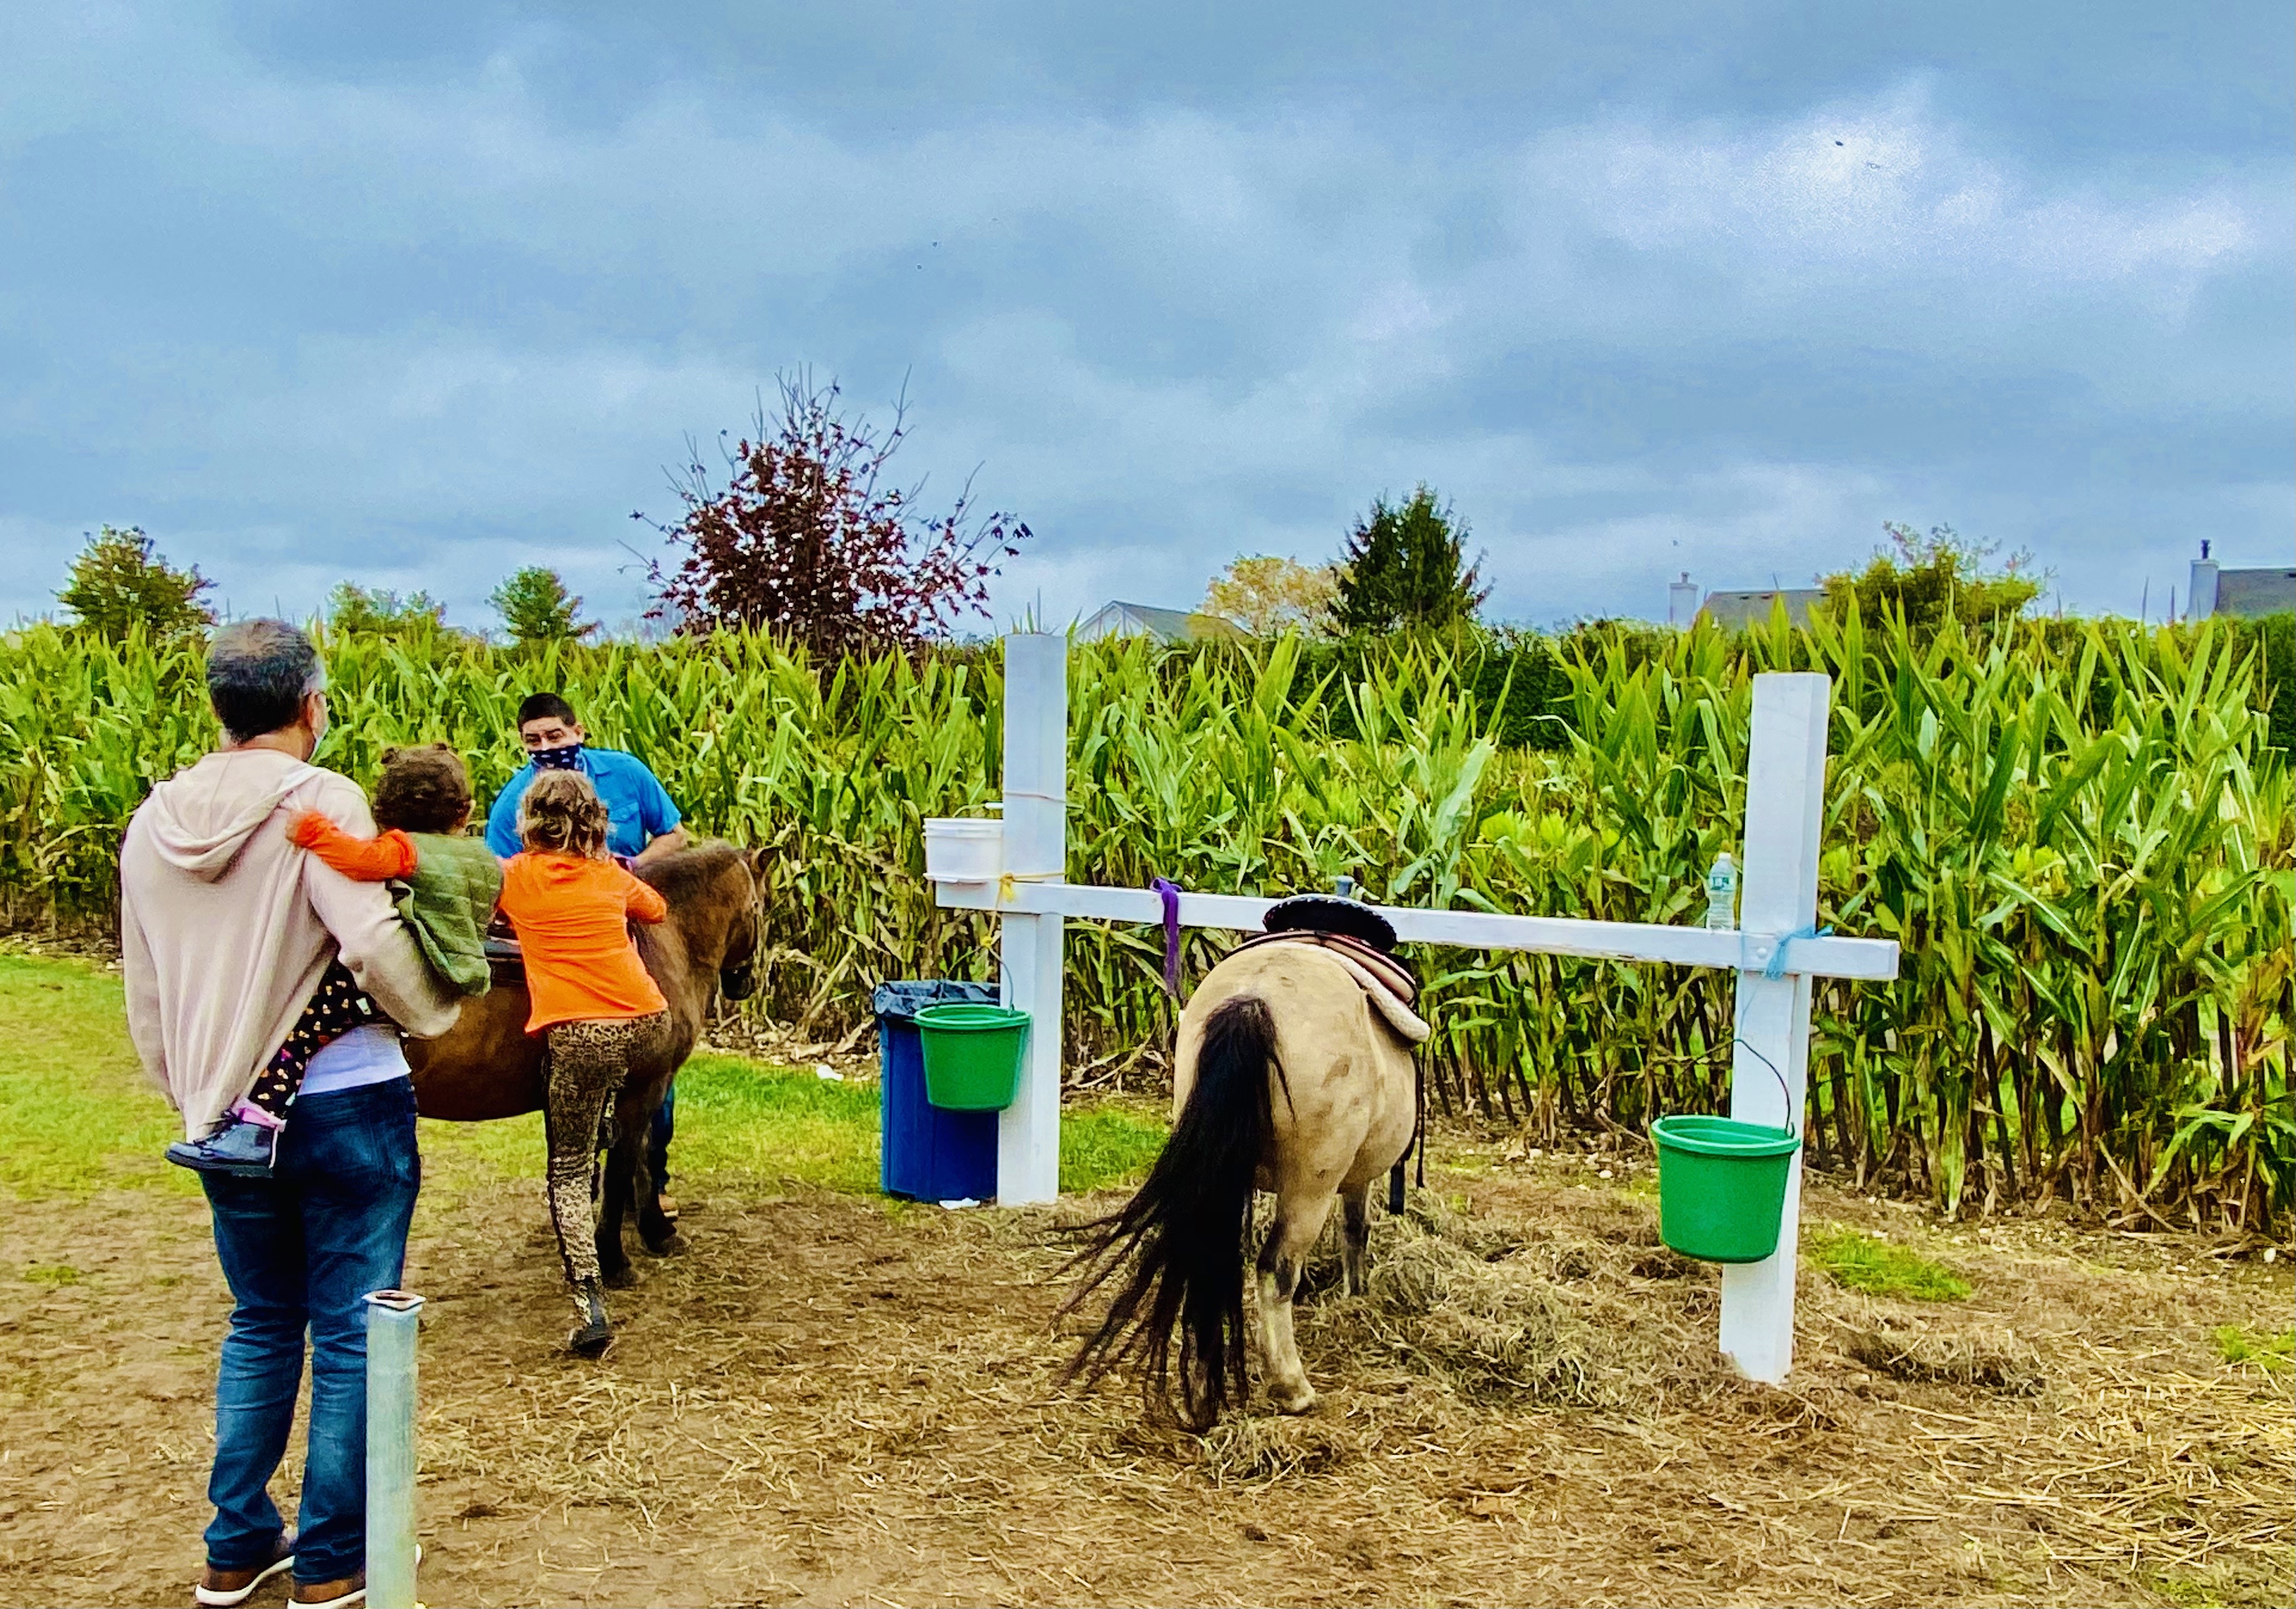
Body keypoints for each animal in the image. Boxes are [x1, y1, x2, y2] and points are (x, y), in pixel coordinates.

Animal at [408, 849, 766, 1349]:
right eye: (761, 906)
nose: (744, 983)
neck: (663, 941)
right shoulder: (643, 1088)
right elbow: (623, 1169)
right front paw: (617, 1257)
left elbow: (636, 1163)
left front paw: (656, 1232)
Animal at [1065, 904, 1423, 1432]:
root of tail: (1253, 1001)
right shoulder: (1352, 1179)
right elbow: (1355, 1229)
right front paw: (1355, 1294)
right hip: (1308, 1187)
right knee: (1276, 1269)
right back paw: (1292, 1387)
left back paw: (1201, 1382)